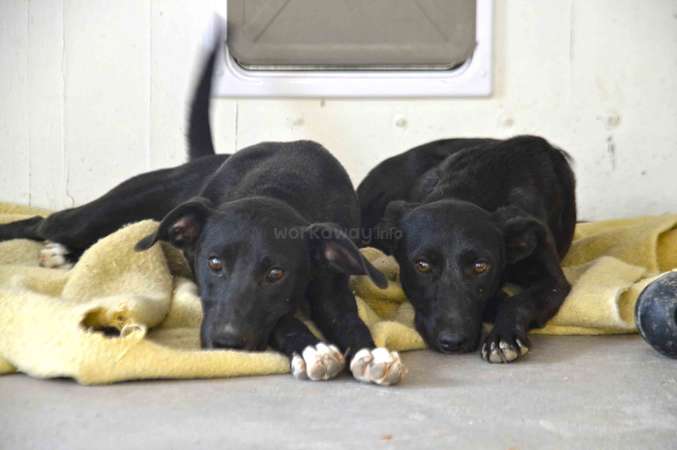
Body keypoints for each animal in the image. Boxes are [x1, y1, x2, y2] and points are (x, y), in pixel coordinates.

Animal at [0, 28, 404, 384]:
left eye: (276, 274)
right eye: (214, 263)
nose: (227, 343)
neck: (279, 188)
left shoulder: (332, 283)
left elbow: (348, 319)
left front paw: (371, 352)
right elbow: (282, 320)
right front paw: (311, 348)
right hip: (106, 210)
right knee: (43, 221)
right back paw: (56, 246)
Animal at [356, 136, 572, 362]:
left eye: (480, 266)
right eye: (422, 265)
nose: (453, 342)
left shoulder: (554, 282)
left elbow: (520, 301)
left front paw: (502, 337)